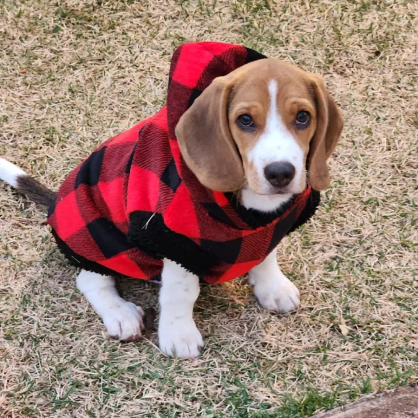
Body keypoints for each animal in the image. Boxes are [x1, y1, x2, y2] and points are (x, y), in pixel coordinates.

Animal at [0, 42, 342, 360]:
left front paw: (273, 287)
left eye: (303, 117)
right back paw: (121, 314)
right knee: (90, 280)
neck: (251, 208)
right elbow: (181, 293)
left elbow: (267, 255)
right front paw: (179, 335)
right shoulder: (175, 241)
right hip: (98, 241)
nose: (281, 173)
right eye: (245, 120)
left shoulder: (271, 226)